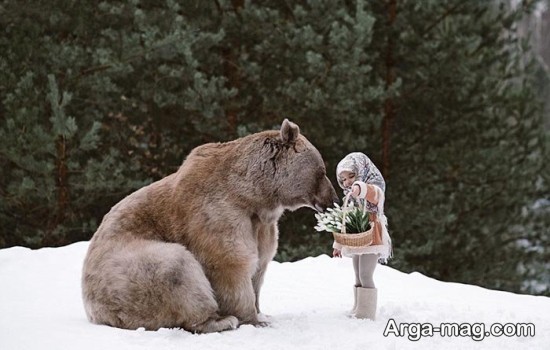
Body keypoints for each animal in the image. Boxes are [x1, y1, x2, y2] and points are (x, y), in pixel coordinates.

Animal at [82, 119, 338, 334]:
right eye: (322, 171)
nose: (332, 199)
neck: (254, 196)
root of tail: (95, 314)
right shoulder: (219, 213)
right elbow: (230, 262)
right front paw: (252, 318)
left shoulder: (262, 227)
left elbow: (260, 264)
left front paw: (263, 312)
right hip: (127, 272)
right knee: (176, 269)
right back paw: (218, 320)